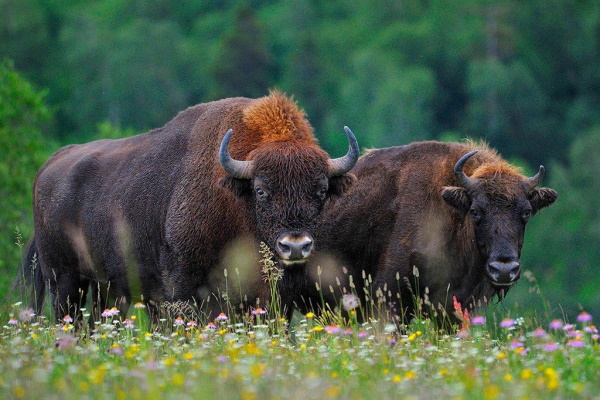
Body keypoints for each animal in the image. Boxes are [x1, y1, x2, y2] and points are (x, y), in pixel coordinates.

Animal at [21, 91, 358, 322]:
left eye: (321, 190)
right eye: (261, 190)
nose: (295, 246)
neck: (235, 198)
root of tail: (49, 166)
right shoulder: (182, 283)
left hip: (104, 287)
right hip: (64, 280)